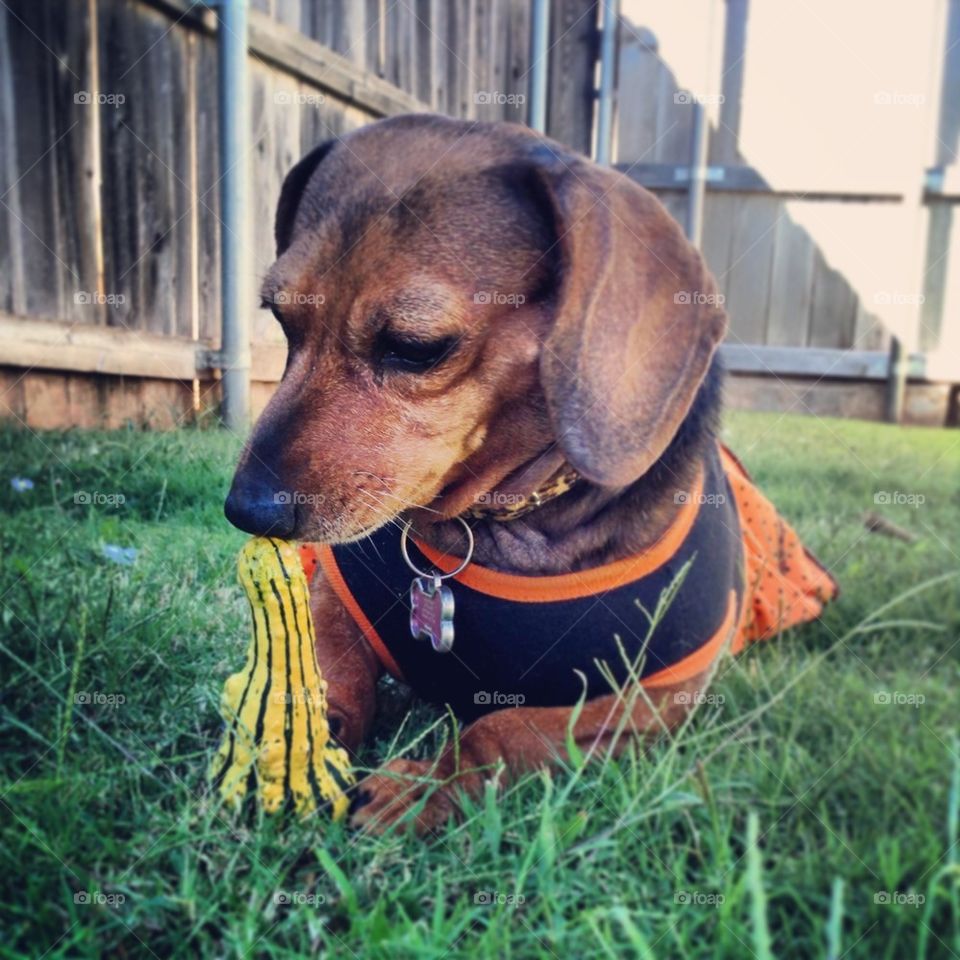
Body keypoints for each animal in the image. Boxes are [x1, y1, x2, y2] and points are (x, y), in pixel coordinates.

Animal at [225, 114, 832, 832]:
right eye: (279, 317)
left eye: (416, 348)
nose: (245, 510)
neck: (490, 522)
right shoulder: (331, 600)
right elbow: (327, 670)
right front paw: (296, 738)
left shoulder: (655, 700)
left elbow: (504, 731)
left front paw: (422, 785)